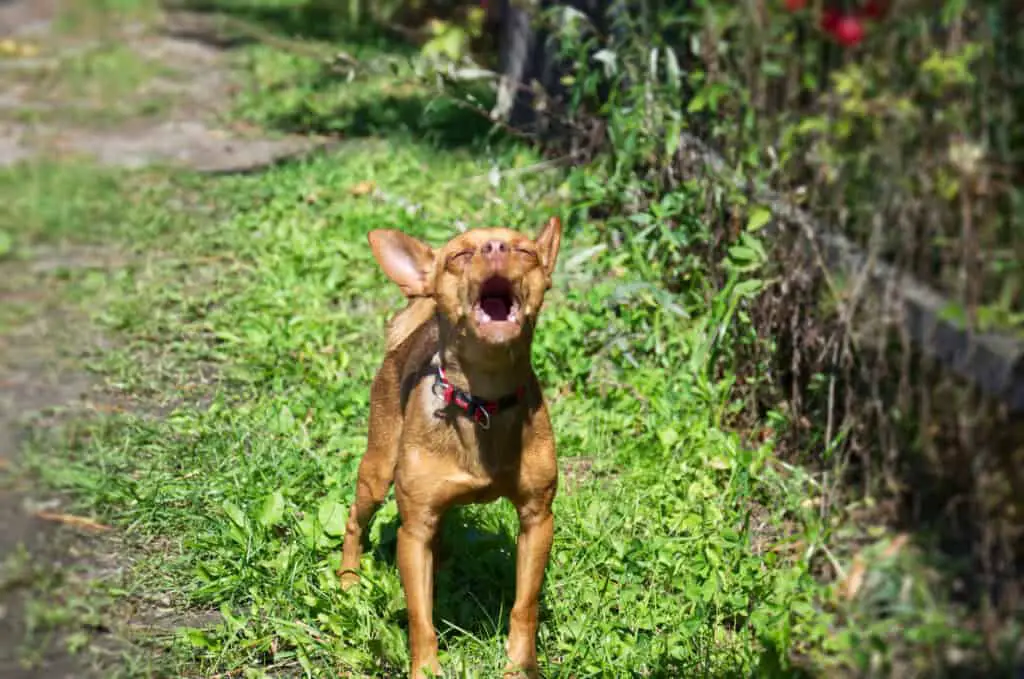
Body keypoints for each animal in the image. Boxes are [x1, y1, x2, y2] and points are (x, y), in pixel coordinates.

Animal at [342, 219, 569, 679]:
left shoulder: (537, 520)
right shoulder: (413, 533)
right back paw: (348, 580)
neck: (483, 401)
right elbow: (420, 617)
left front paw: (520, 666)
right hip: (377, 473)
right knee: (355, 520)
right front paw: (426, 669)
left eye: (526, 252)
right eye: (459, 256)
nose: (496, 246)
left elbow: (525, 605)